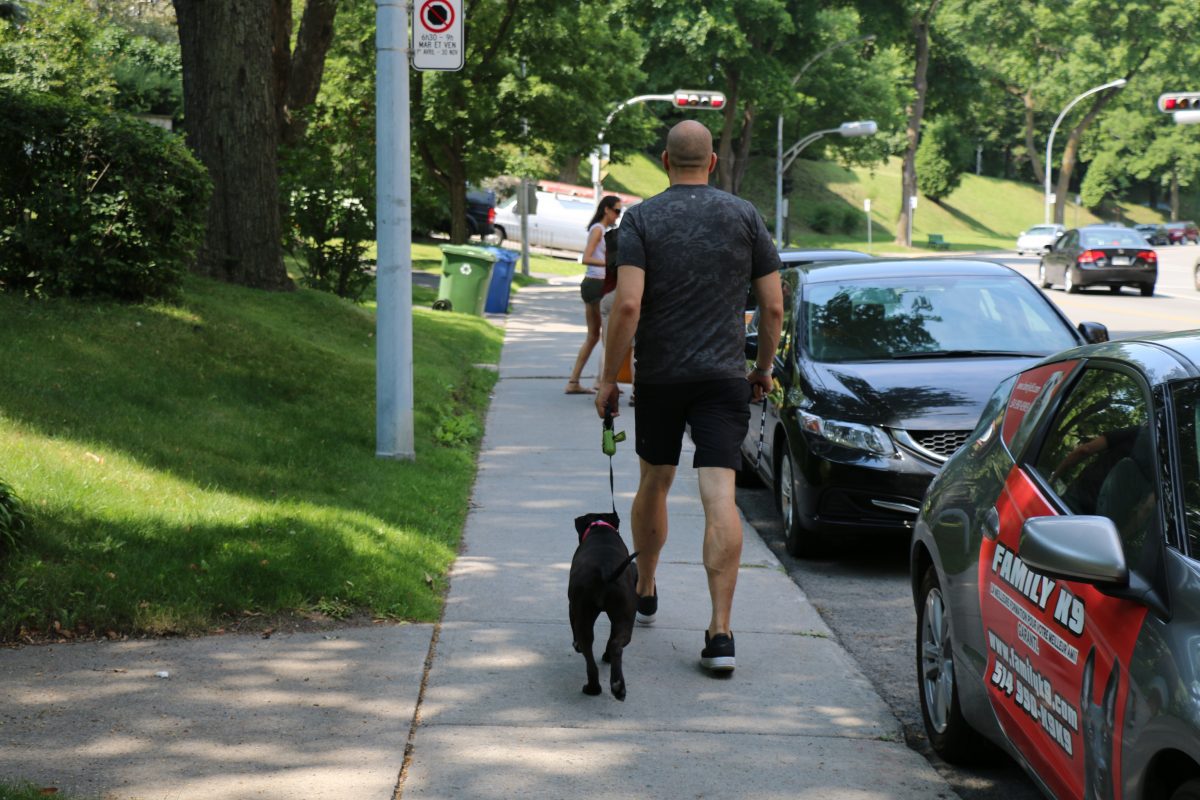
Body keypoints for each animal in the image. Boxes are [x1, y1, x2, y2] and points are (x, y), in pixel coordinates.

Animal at [568, 513, 638, 700]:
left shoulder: (572, 608)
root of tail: (604, 570)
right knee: (615, 645)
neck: (600, 529)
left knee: (590, 655)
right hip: (624, 618)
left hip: (584, 615)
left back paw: (595, 687)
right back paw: (615, 686)